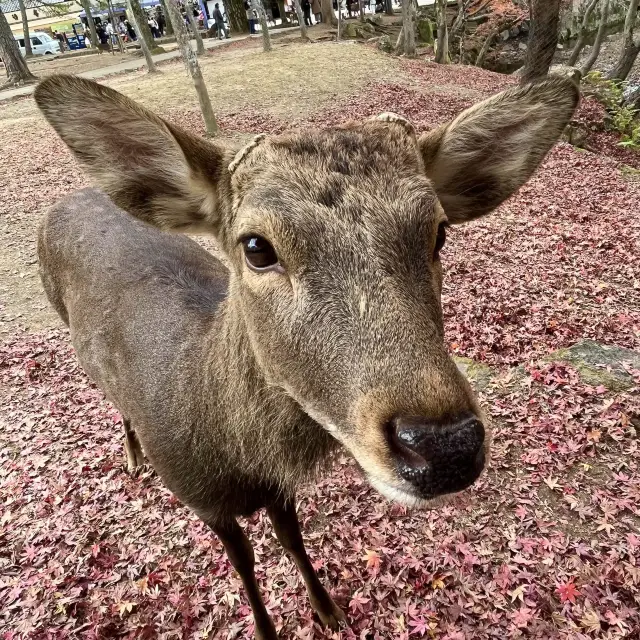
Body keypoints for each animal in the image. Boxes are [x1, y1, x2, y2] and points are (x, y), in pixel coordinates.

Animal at [35, 74, 580, 636]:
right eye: (256, 246)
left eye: (439, 232)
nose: (444, 445)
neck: (238, 456)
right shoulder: (202, 500)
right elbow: (244, 564)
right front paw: (265, 628)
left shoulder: (280, 491)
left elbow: (293, 540)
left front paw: (329, 610)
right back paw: (133, 454)